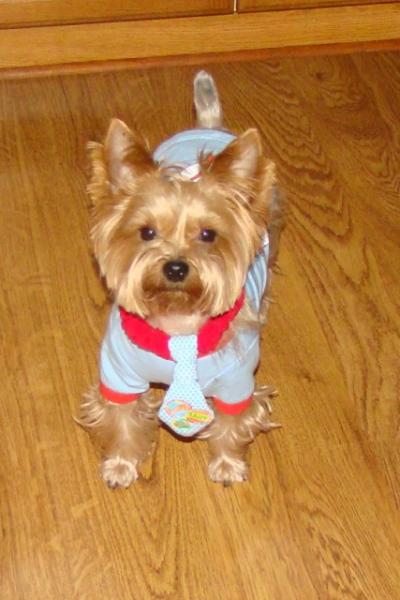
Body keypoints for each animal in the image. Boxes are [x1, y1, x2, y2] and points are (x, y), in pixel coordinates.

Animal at [79, 71, 284, 487]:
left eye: (208, 234)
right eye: (146, 232)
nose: (175, 268)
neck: (178, 322)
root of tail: (209, 125)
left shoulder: (237, 383)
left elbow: (231, 425)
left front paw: (227, 465)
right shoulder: (118, 375)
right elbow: (122, 421)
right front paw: (121, 465)